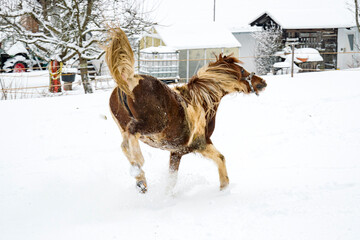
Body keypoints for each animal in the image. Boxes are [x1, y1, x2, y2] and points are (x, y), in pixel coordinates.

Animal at [105, 28, 266, 193]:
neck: (202, 101)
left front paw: (224, 187)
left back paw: (140, 180)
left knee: (125, 143)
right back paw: (139, 166)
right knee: (132, 133)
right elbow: (218, 159)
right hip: (153, 125)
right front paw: (224, 188)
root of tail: (130, 80)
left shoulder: (178, 151)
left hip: (125, 127)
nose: (262, 82)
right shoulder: (199, 144)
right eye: (242, 70)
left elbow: (216, 159)